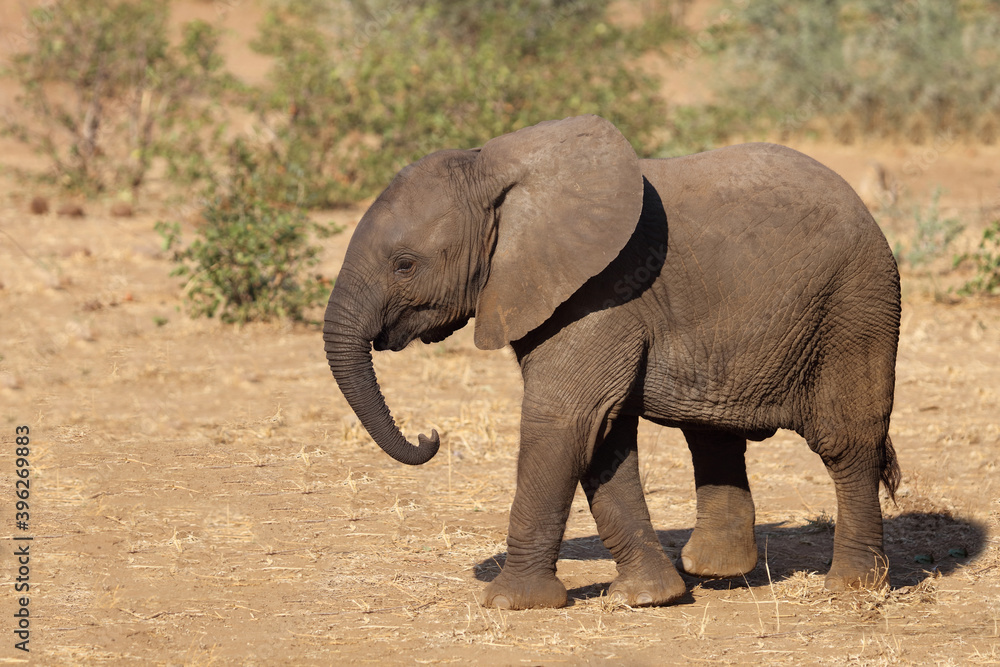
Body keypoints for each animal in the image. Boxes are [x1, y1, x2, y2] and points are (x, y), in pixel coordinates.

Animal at [323, 115, 901, 610]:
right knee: (711, 435)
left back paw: (851, 586)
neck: (495, 172)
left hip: (855, 305)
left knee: (846, 442)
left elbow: (563, 422)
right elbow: (603, 436)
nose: (430, 437)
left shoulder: (601, 293)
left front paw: (508, 604)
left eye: (404, 265)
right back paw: (713, 571)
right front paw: (647, 598)